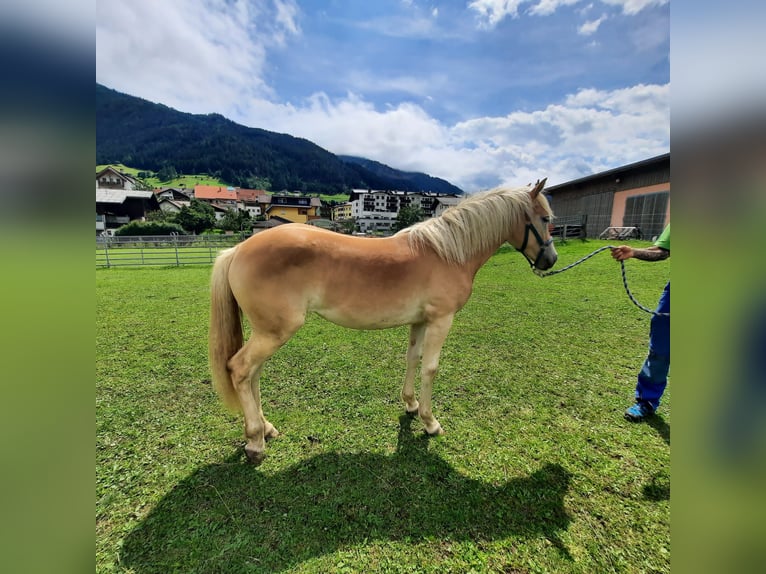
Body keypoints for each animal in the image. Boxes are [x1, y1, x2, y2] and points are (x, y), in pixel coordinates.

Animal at [210, 179, 560, 464]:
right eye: (545, 219)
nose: (550, 260)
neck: (447, 252)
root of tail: (237, 249)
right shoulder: (441, 320)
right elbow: (431, 368)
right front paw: (430, 422)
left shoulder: (420, 321)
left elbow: (413, 358)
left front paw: (411, 405)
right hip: (275, 332)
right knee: (240, 369)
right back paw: (255, 442)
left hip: (267, 332)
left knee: (253, 374)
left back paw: (266, 429)